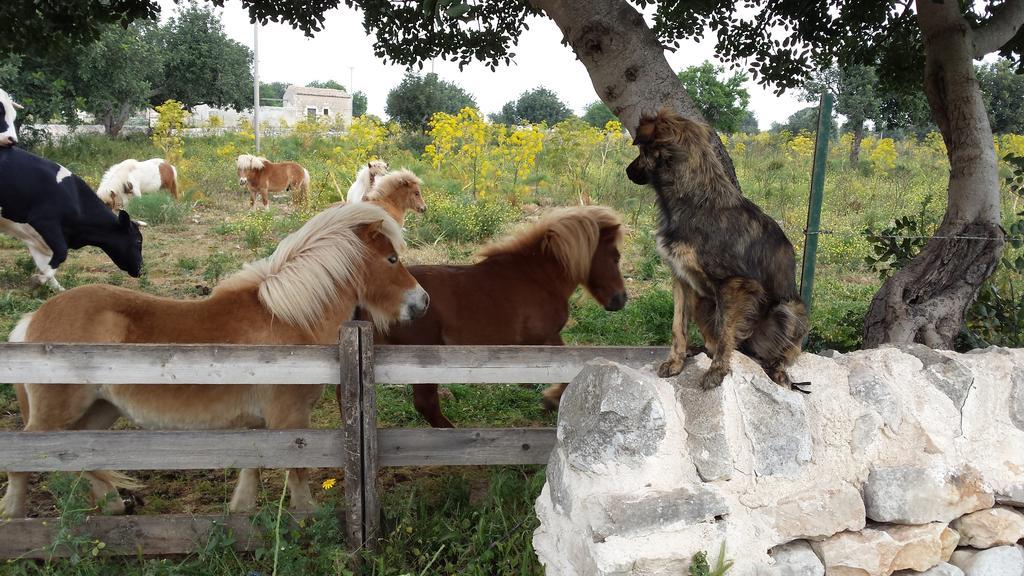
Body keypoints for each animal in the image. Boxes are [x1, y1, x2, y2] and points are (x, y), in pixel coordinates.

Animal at [0, 145, 144, 289]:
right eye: (138, 240)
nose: (141, 268)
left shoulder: (34, 238)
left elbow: (46, 266)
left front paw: (57, 288)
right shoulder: (44, 222)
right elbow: (62, 253)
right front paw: (37, 280)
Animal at [1, 200, 428, 516]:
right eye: (391, 259)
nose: (421, 302)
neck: (286, 317)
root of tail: (33, 319)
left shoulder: (259, 423)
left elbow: (252, 468)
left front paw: (240, 515)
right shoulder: (289, 420)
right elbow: (297, 472)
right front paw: (307, 518)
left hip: (99, 410)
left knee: (79, 457)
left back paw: (114, 508)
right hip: (55, 415)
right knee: (24, 461)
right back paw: (16, 518)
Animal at [376, 203, 626, 424]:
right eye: (616, 257)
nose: (620, 299)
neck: (538, 277)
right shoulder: (544, 338)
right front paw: (551, 400)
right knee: (426, 404)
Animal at [622, 107, 806, 389]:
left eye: (641, 151)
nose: (628, 171)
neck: (695, 199)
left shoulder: (734, 283)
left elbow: (725, 331)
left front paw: (717, 370)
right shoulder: (681, 278)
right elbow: (678, 326)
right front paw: (675, 361)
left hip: (788, 310)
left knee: (781, 352)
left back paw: (777, 371)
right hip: (702, 300)